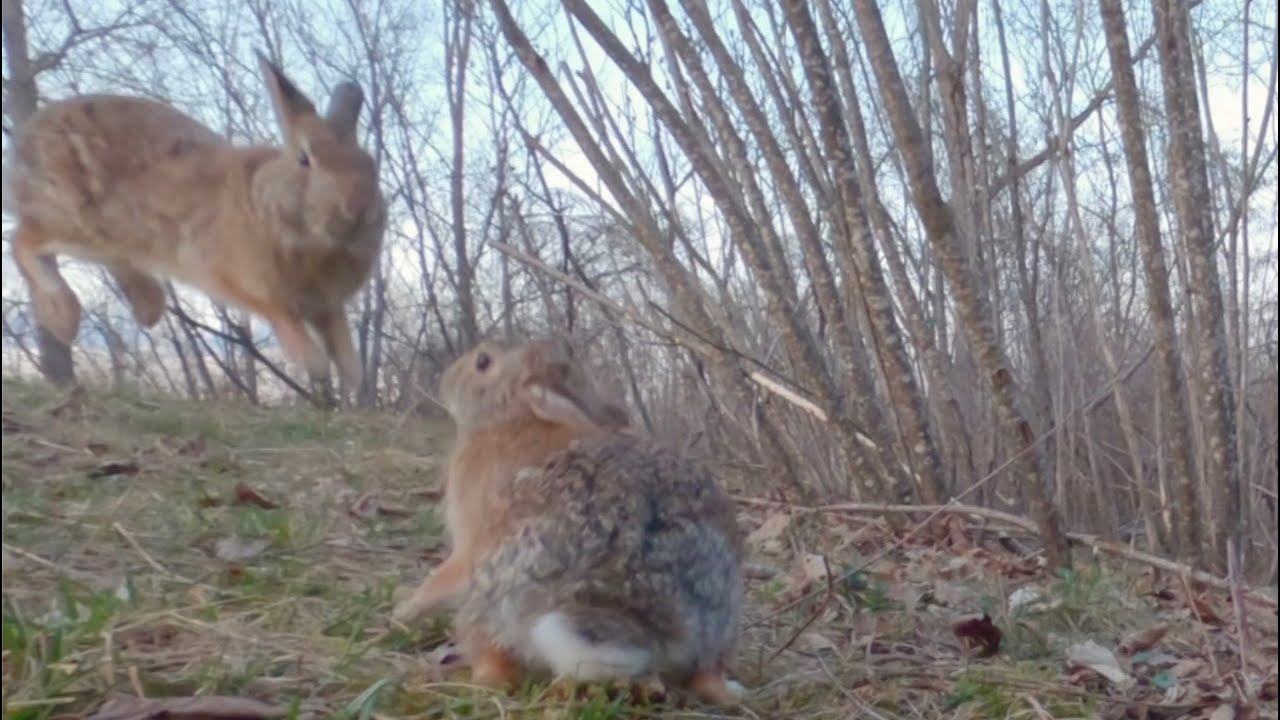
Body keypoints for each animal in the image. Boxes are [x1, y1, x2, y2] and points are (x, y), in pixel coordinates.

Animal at [3, 50, 386, 390]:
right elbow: (286, 322)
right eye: (305, 159)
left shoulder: (327, 305)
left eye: (369, 163)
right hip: (75, 222)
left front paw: (352, 380)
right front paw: (315, 368)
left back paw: (146, 306)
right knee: (23, 241)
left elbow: (342, 342)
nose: (357, 211)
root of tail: (26, 141)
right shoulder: (244, 283)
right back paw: (63, 317)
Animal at [395, 336, 745, 705]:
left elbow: (440, 580)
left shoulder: (469, 544)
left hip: (494, 596)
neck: (513, 416)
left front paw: (402, 611)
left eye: (483, 361)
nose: (445, 379)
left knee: (496, 671)